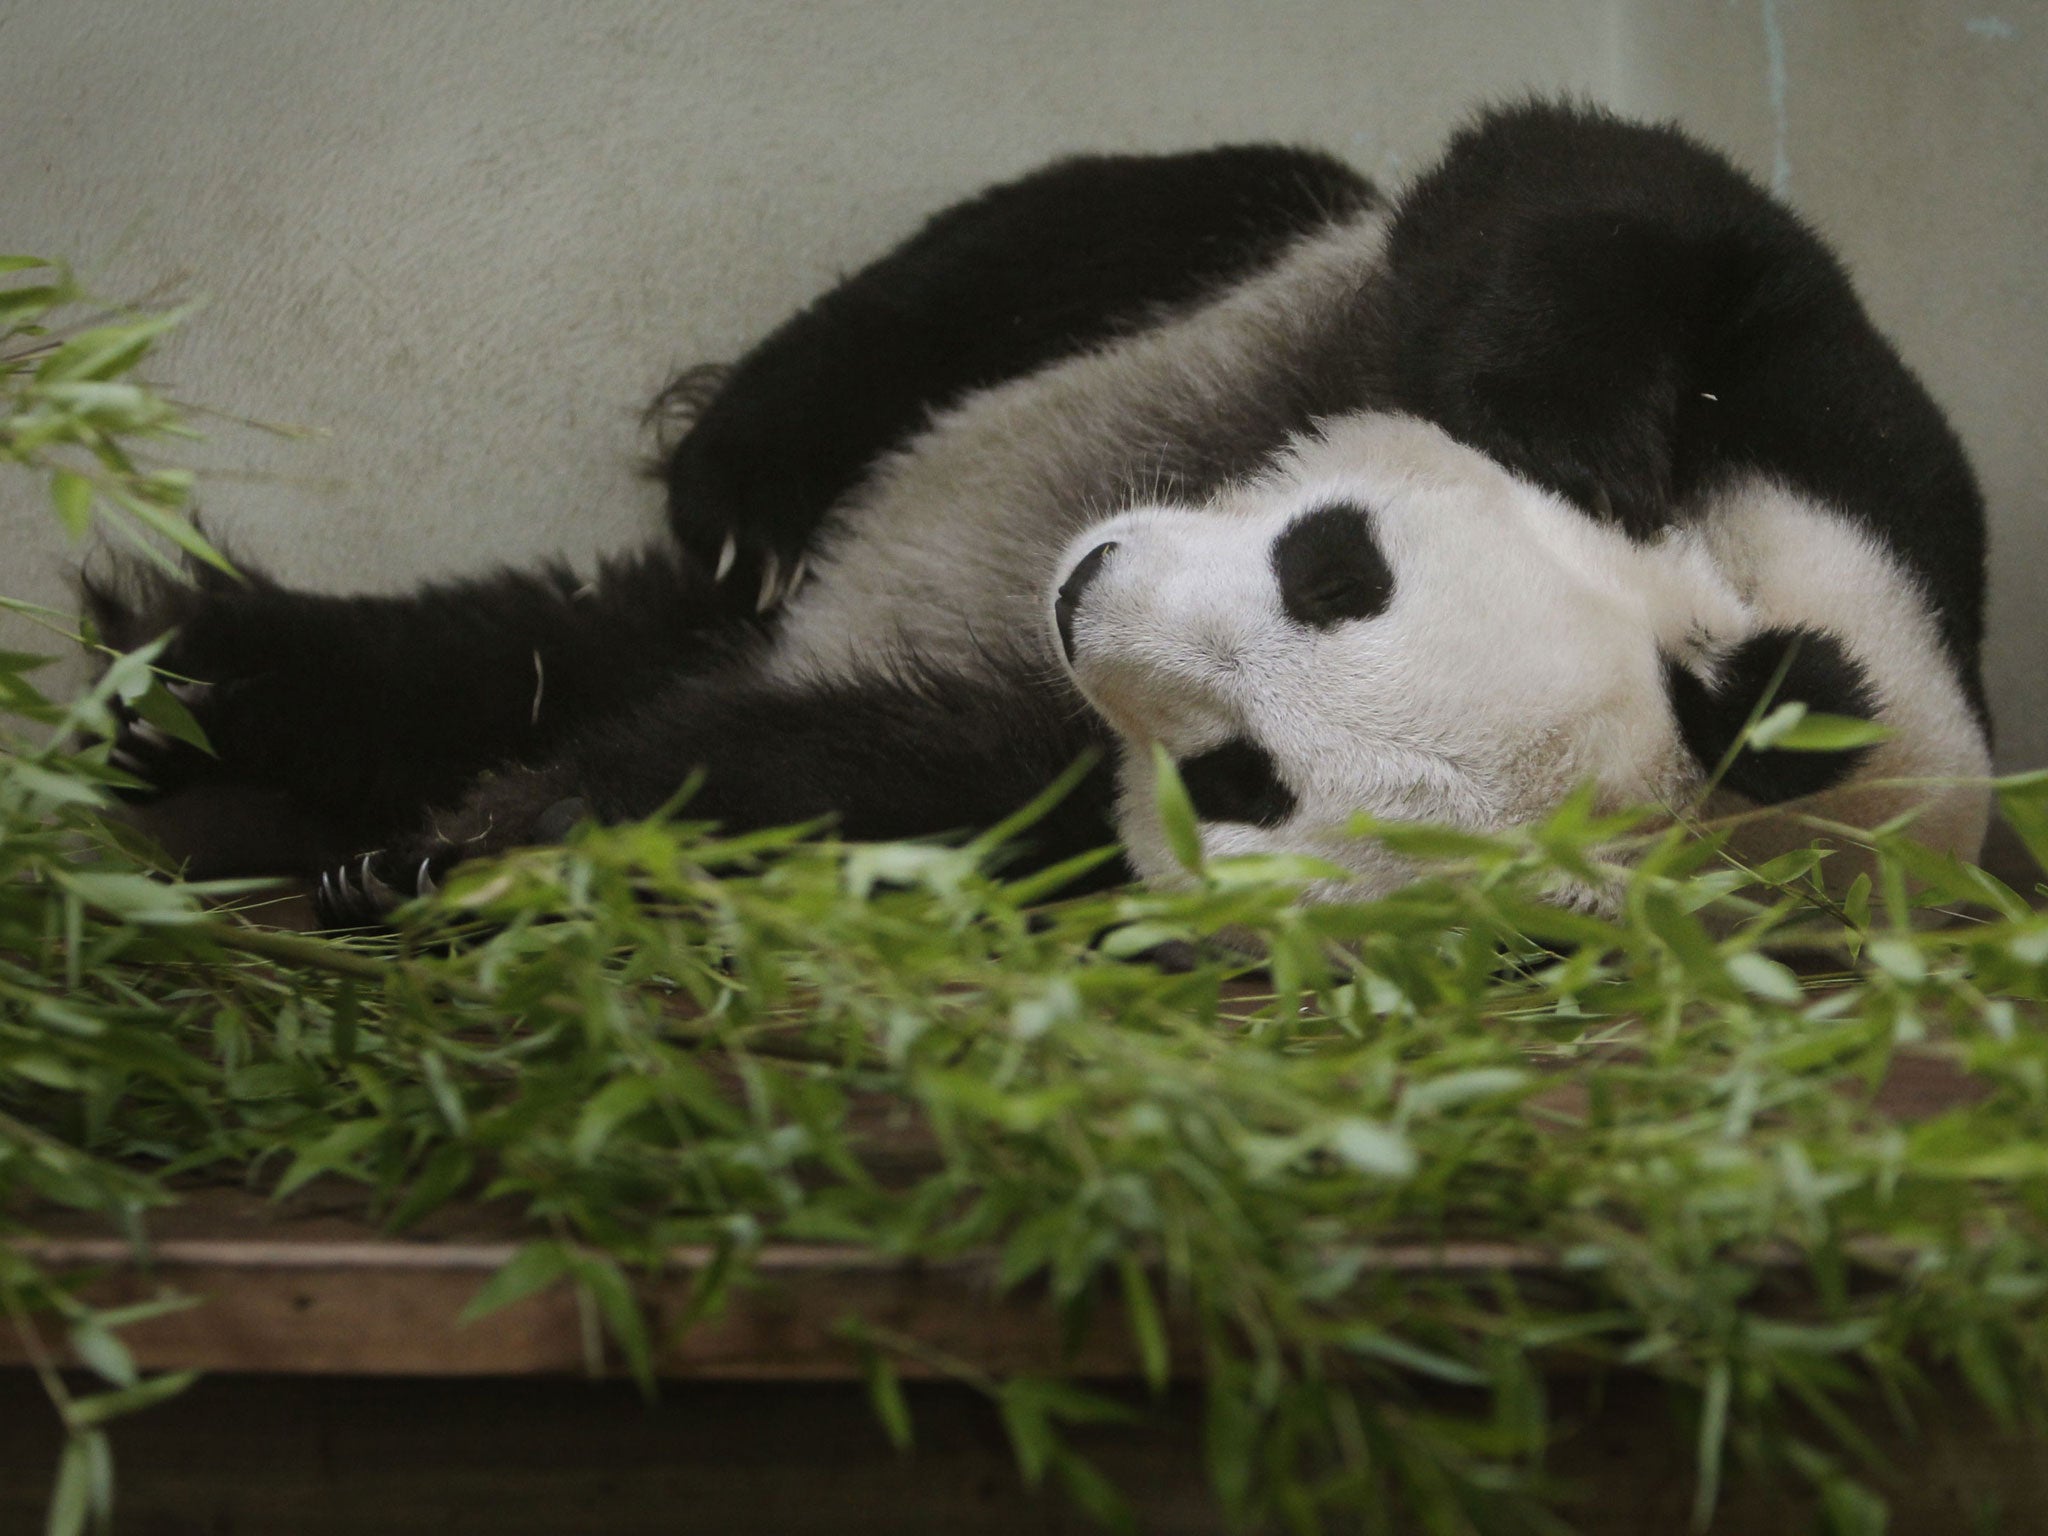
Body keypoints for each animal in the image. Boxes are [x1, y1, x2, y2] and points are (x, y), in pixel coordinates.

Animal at [88, 105, 1990, 925]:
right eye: (1338, 567)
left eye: (1246, 785)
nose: (1089, 601)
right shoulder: (1845, 447)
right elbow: (1610, 196)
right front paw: (1554, 441)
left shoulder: (1039, 786)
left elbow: (871, 790)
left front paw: (507, 835)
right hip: (1204, 269)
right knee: (1067, 241)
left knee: (526, 649)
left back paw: (221, 737)